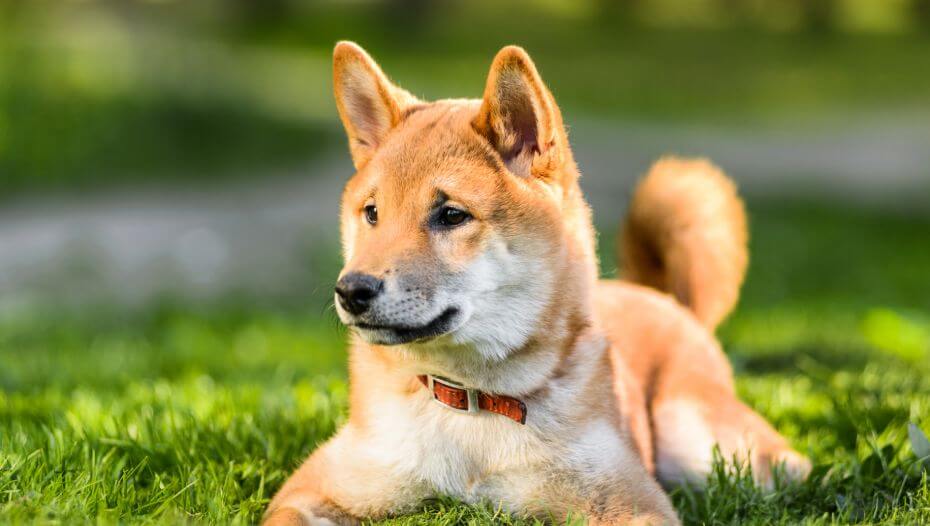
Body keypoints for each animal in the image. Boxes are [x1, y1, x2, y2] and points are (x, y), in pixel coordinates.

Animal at [264, 42, 808, 526]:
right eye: (372, 213)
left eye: (451, 215)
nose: (351, 290)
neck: (472, 400)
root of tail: (663, 298)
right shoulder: (315, 488)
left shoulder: (631, 501)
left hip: (694, 439)